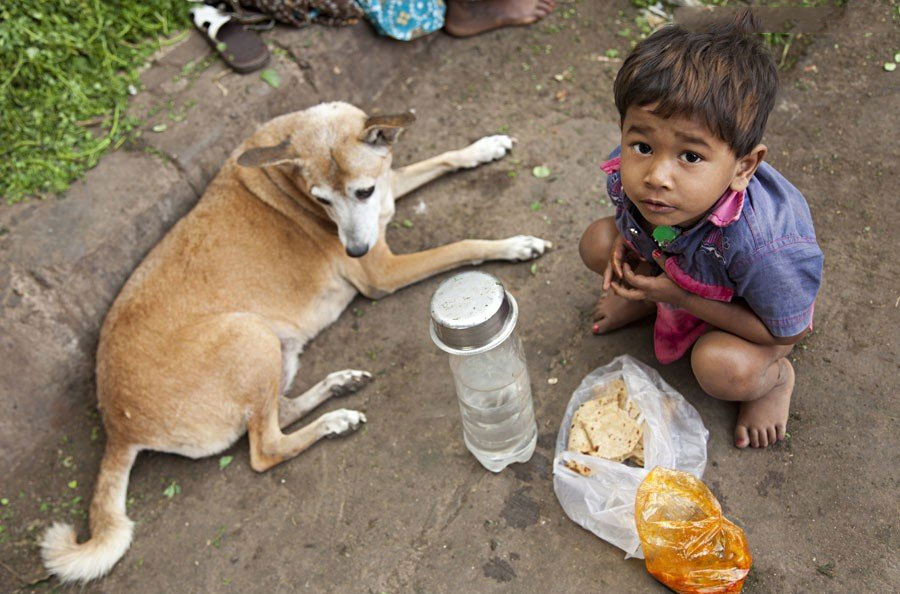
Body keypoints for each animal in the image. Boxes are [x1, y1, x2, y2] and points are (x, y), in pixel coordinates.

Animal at [40, 100, 548, 580]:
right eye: (321, 200)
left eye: (361, 192)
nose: (353, 250)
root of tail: (116, 426)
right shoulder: (382, 271)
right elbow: (463, 246)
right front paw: (512, 245)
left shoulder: (385, 189)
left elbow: (440, 159)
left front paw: (483, 147)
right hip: (250, 335)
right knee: (264, 449)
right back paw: (334, 421)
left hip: (275, 351)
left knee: (276, 415)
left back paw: (338, 388)